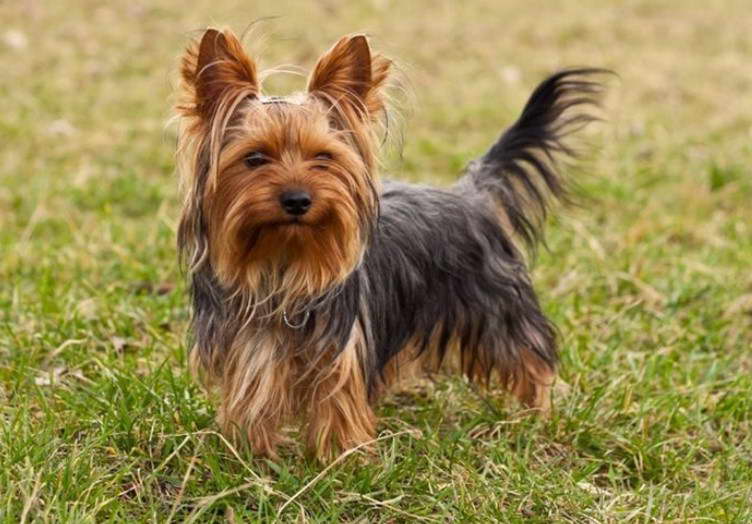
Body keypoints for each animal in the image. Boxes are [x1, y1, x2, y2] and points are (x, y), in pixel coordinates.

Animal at [175, 28, 604, 460]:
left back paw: (540, 416)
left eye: (324, 158)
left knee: (531, 360)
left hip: (499, 311)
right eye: (254, 158)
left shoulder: (341, 354)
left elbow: (338, 405)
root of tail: (473, 193)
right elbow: (253, 402)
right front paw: (250, 454)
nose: (297, 200)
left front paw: (340, 459)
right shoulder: (248, 351)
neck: (282, 261)